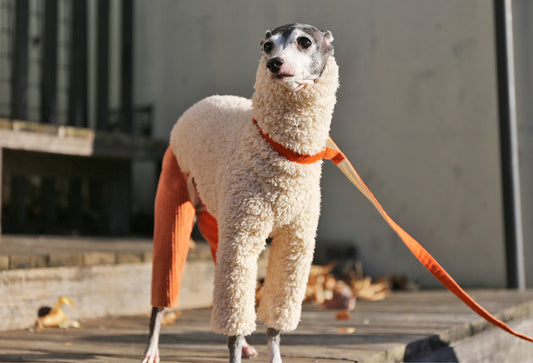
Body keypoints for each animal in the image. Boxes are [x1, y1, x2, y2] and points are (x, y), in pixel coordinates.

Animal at [142, 23, 336, 363]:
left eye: (304, 42)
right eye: (267, 46)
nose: (274, 64)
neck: (285, 154)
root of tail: (202, 102)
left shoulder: (295, 242)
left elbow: (276, 319)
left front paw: (273, 354)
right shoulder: (243, 236)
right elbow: (234, 315)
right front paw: (235, 347)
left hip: (218, 220)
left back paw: (245, 343)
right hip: (176, 193)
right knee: (164, 287)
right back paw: (152, 348)